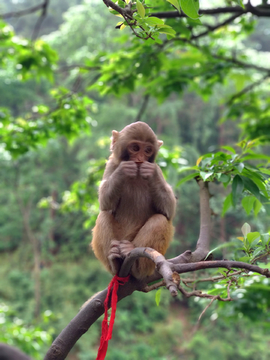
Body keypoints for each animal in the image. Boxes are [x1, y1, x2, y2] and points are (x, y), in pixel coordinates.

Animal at [91, 121, 177, 278]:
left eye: (148, 150)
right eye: (135, 148)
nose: (140, 159)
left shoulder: (157, 168)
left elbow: (169, 209)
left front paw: (150, 173)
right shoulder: (111, 164)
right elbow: (105, 203)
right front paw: (123, 170)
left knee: (160, 219)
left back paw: (135, 261)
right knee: (104, 215)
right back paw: (115, 262)